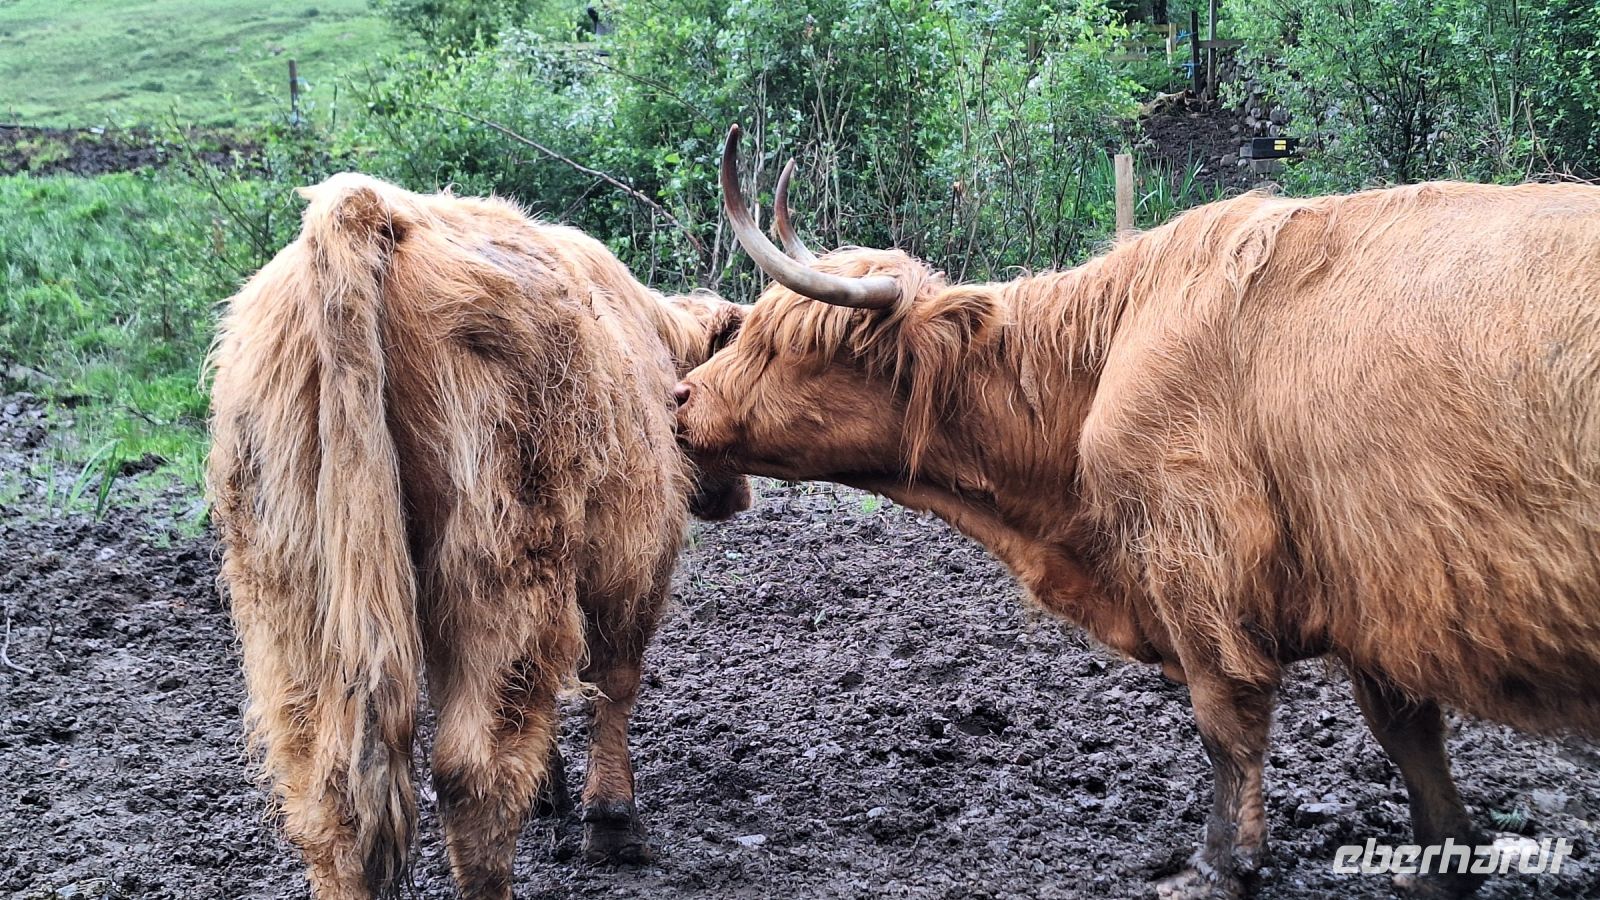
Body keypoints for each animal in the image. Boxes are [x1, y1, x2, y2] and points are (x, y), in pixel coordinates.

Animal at [207, 172, 749, 900]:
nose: (739, 493)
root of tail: (364, 208)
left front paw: (553, 796)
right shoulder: (637, 554)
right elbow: (615, 678)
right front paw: (612, 823)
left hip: (290, 583)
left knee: (328, 789)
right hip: (502, 555)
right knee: (475, 770)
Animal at [674, 125, 1600, 899]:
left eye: (786, 346)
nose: (679, 398)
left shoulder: (1202, 568)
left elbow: (1226, 722)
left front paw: (1221, 864)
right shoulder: (1375, 591)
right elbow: (1409, 735)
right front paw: (1442, 863)